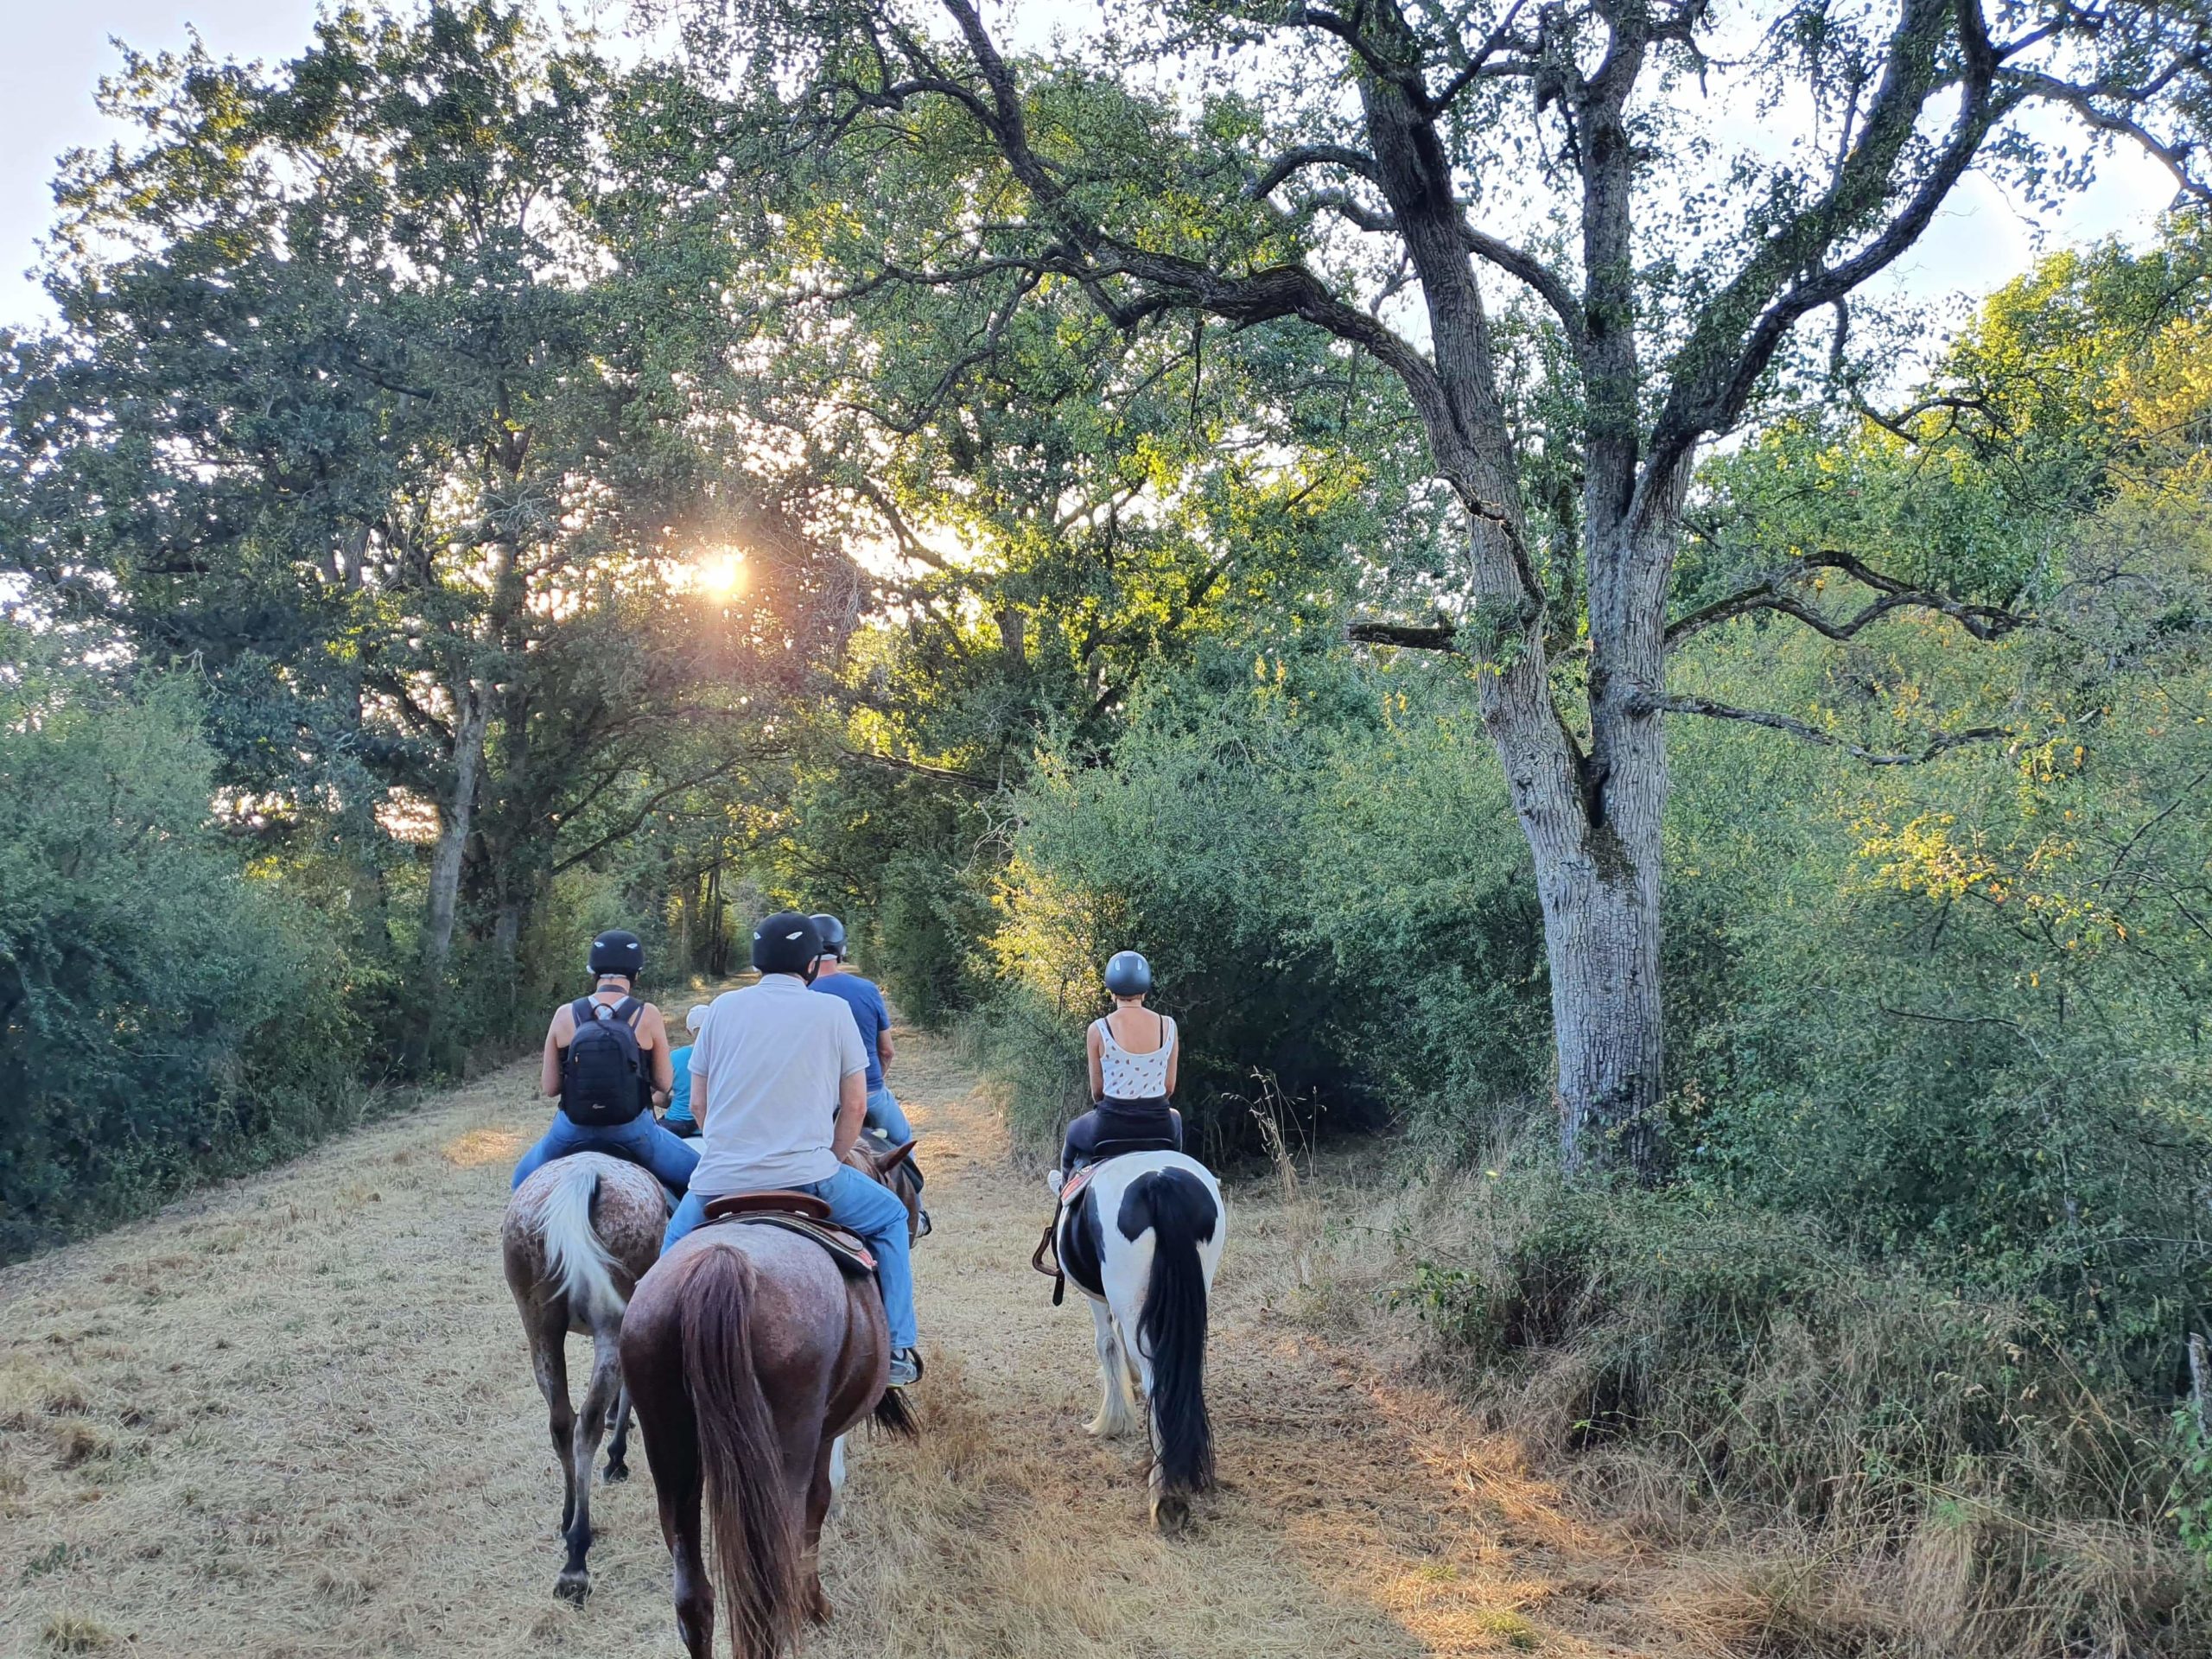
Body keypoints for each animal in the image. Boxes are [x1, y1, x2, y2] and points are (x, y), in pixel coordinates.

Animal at [502, 1159, 664, 1601]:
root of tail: (583, 1177)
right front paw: (617, 1455)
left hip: (538, 1326)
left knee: (562, 1421)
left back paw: (569, 1518)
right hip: (610, 1322)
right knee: (585, 1421)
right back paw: (577, 1558)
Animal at [623, 1141, 925, 1659]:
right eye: (905, 1188)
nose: (918, 1223)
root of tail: (721, 1264)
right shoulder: (822, 1438)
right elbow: (818, 1506)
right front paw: (815, 1606)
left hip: (672, 1458)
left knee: (694, 1599)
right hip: (781, 1458)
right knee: (765, 1596)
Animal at [1052, 1159, 1230, 1530]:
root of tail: (1158, 1182)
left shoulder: (1100, 1300)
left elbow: (1106, 1343)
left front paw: (1112, 1420)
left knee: (1156, 1381)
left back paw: (1165, 1494)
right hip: (1192, 1294)